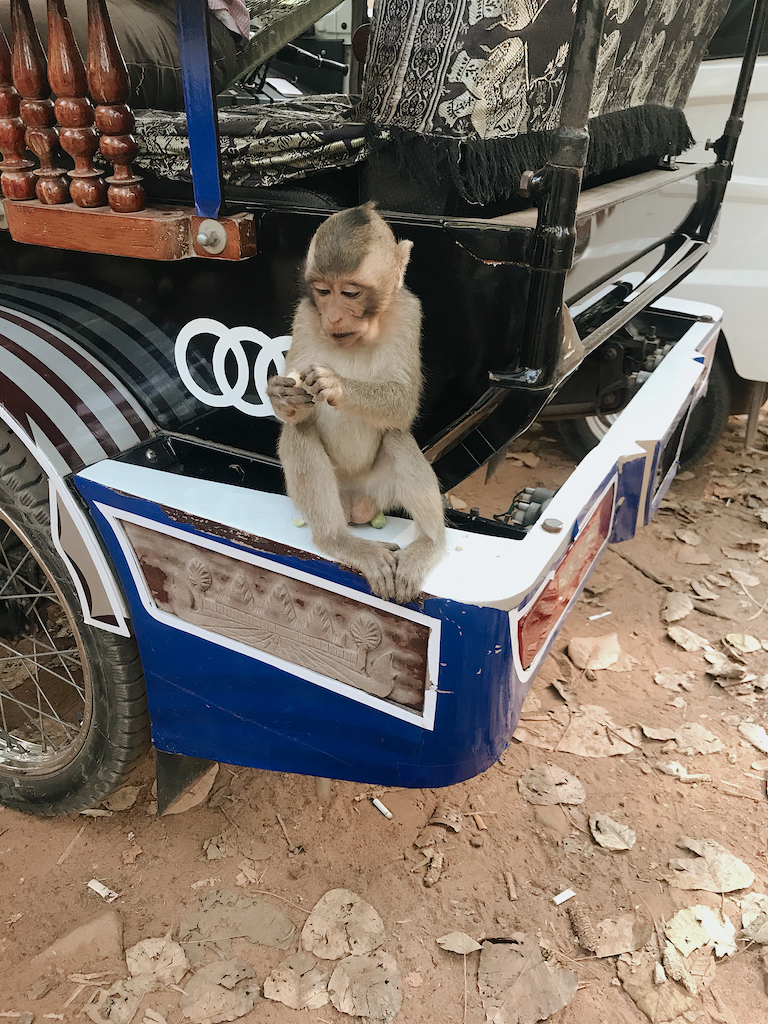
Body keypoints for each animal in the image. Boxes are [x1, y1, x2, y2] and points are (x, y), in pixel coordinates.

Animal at [268, 202, 448, 602]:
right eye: (322, 291)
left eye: (350, 293)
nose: (333, 316)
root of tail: (355, 507)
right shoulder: (306, 316)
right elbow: (294, 415)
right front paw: (281, 394)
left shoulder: (409, 313)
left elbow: (403, 404)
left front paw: (336, 385)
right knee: (299, 432)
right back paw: (338, 540)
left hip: (380, 489)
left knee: (397, 437)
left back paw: (431, 543)